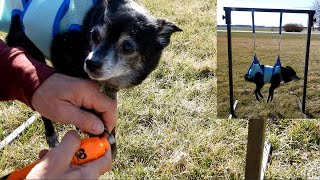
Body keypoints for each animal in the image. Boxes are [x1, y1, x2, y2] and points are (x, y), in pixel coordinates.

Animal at [4, 0, 180, 158]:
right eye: (95, 35)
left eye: (128, 47)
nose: (90, 63)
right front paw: (99, 136)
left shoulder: (109, 92)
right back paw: (51, 135)